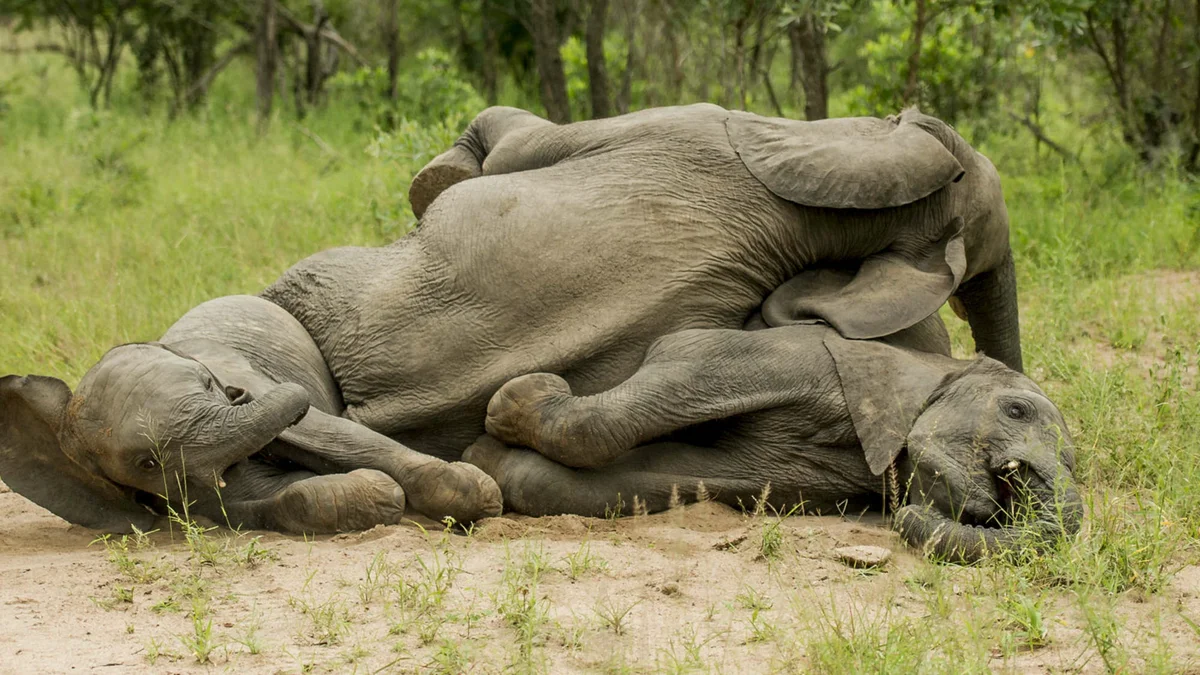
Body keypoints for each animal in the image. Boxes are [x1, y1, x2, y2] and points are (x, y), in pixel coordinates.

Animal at [472, 312, 1084, 562]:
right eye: (1017, 410)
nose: (906, 517)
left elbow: (664, 477)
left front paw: (496, 462)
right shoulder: (788, 359)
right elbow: (675, 371)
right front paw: (513, 408)